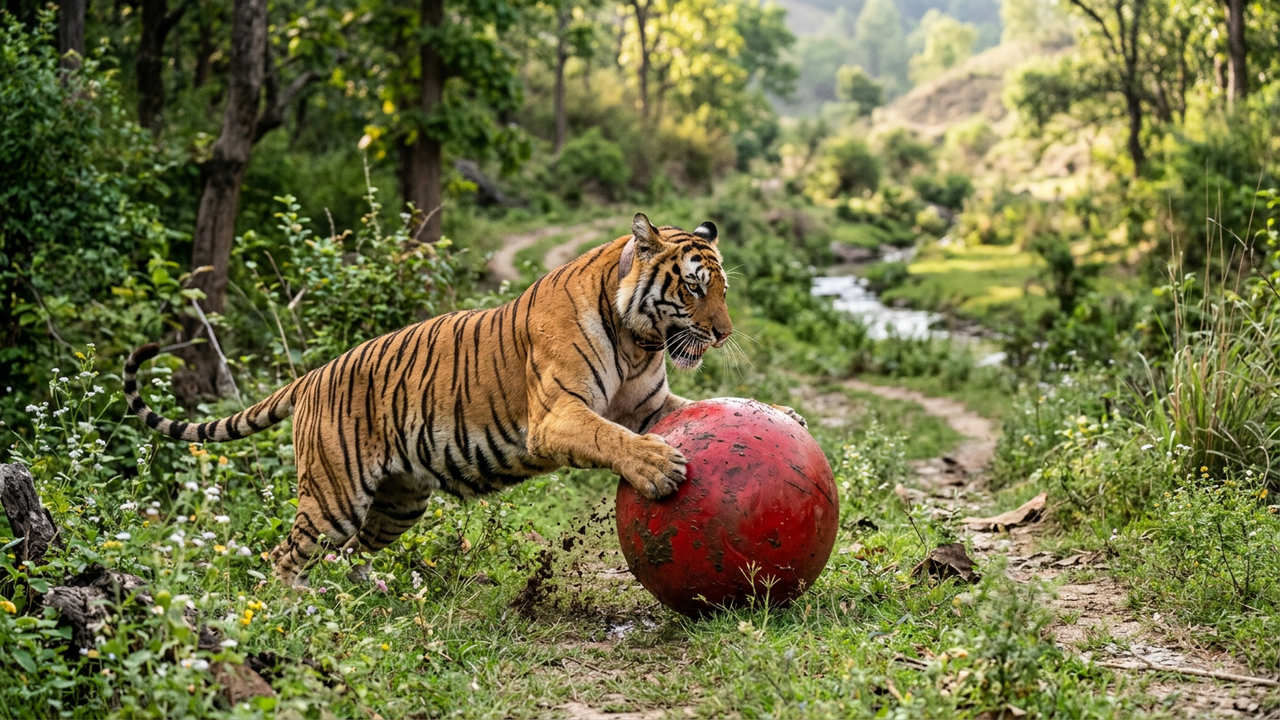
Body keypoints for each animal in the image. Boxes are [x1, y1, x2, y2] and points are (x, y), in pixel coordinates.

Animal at [124, 213, 804, 587]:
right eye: (693, 289)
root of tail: (312, 377)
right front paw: (660, 466)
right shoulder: (557, 417)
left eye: (721, 289)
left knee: (348, 555)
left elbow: (693, 406)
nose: (725, 333)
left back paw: (362, 596)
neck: (639, 340)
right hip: (334, 496)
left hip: (398, 502)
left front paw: (782, 415)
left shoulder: (648, 405)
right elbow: (610, 437)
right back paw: (298, 613)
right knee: (283, 556)